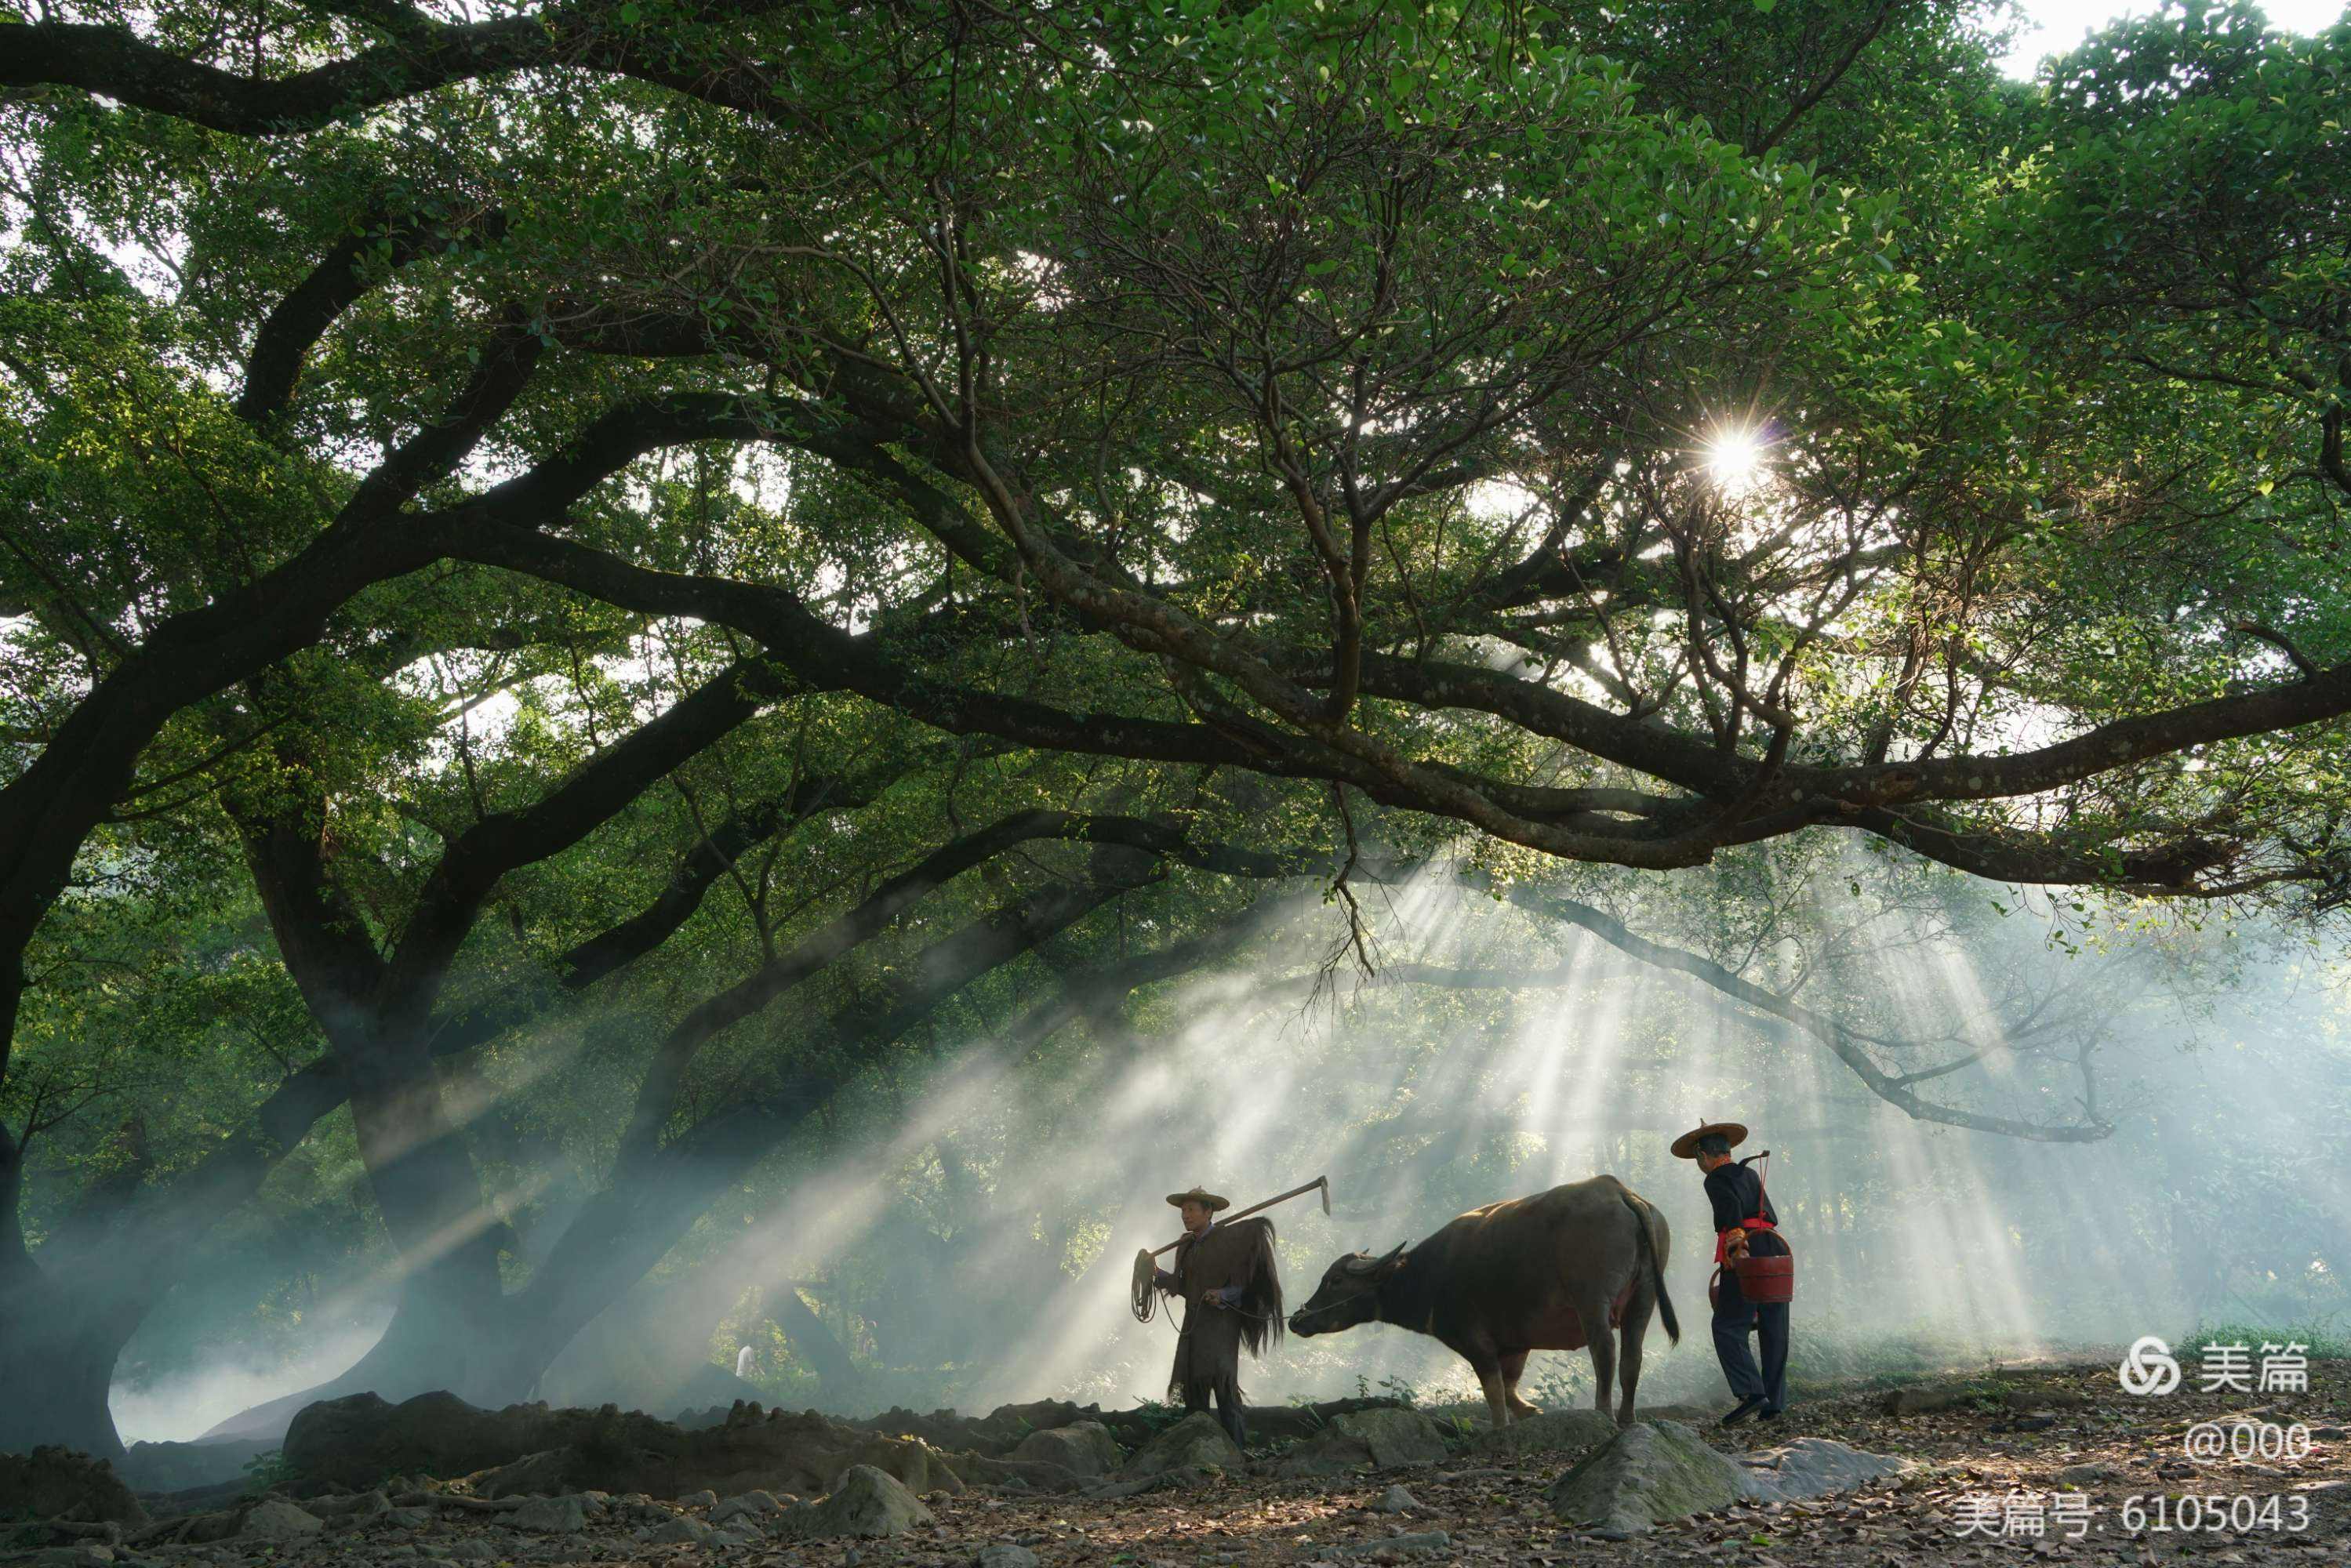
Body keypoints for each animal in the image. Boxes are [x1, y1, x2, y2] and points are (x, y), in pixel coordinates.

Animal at [1288, 1171, 1673, 1429]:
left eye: (1335, 1280)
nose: (1296, 1320)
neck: (1430, 1275)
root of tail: (1619, 1191)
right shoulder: (1515, 1342)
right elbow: (1510, 1383)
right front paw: (1529, 1411)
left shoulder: (1476, 1343)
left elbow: (1493, 1389)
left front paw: (1502, 1425)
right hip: (1644, 1297)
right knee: (1633, 1356)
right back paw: (1627, 1417)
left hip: (1592, 1300)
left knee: (1604, 1351)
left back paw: (1603, 1413)